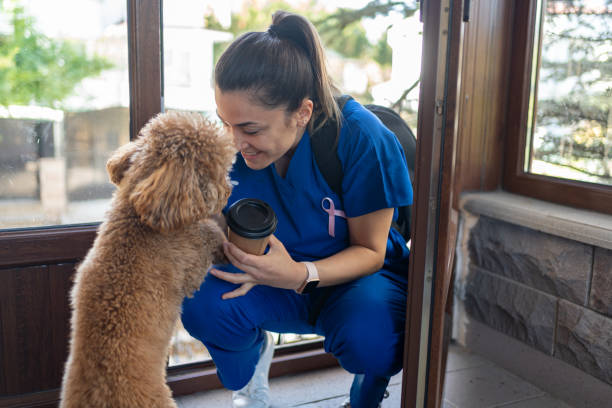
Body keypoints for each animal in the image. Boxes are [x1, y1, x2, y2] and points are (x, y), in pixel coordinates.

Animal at [59, 111, 237, 408]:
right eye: (216, 169)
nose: (228, 190)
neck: (136, 217)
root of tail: (98, 396)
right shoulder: (192, 261)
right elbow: (208, 235)